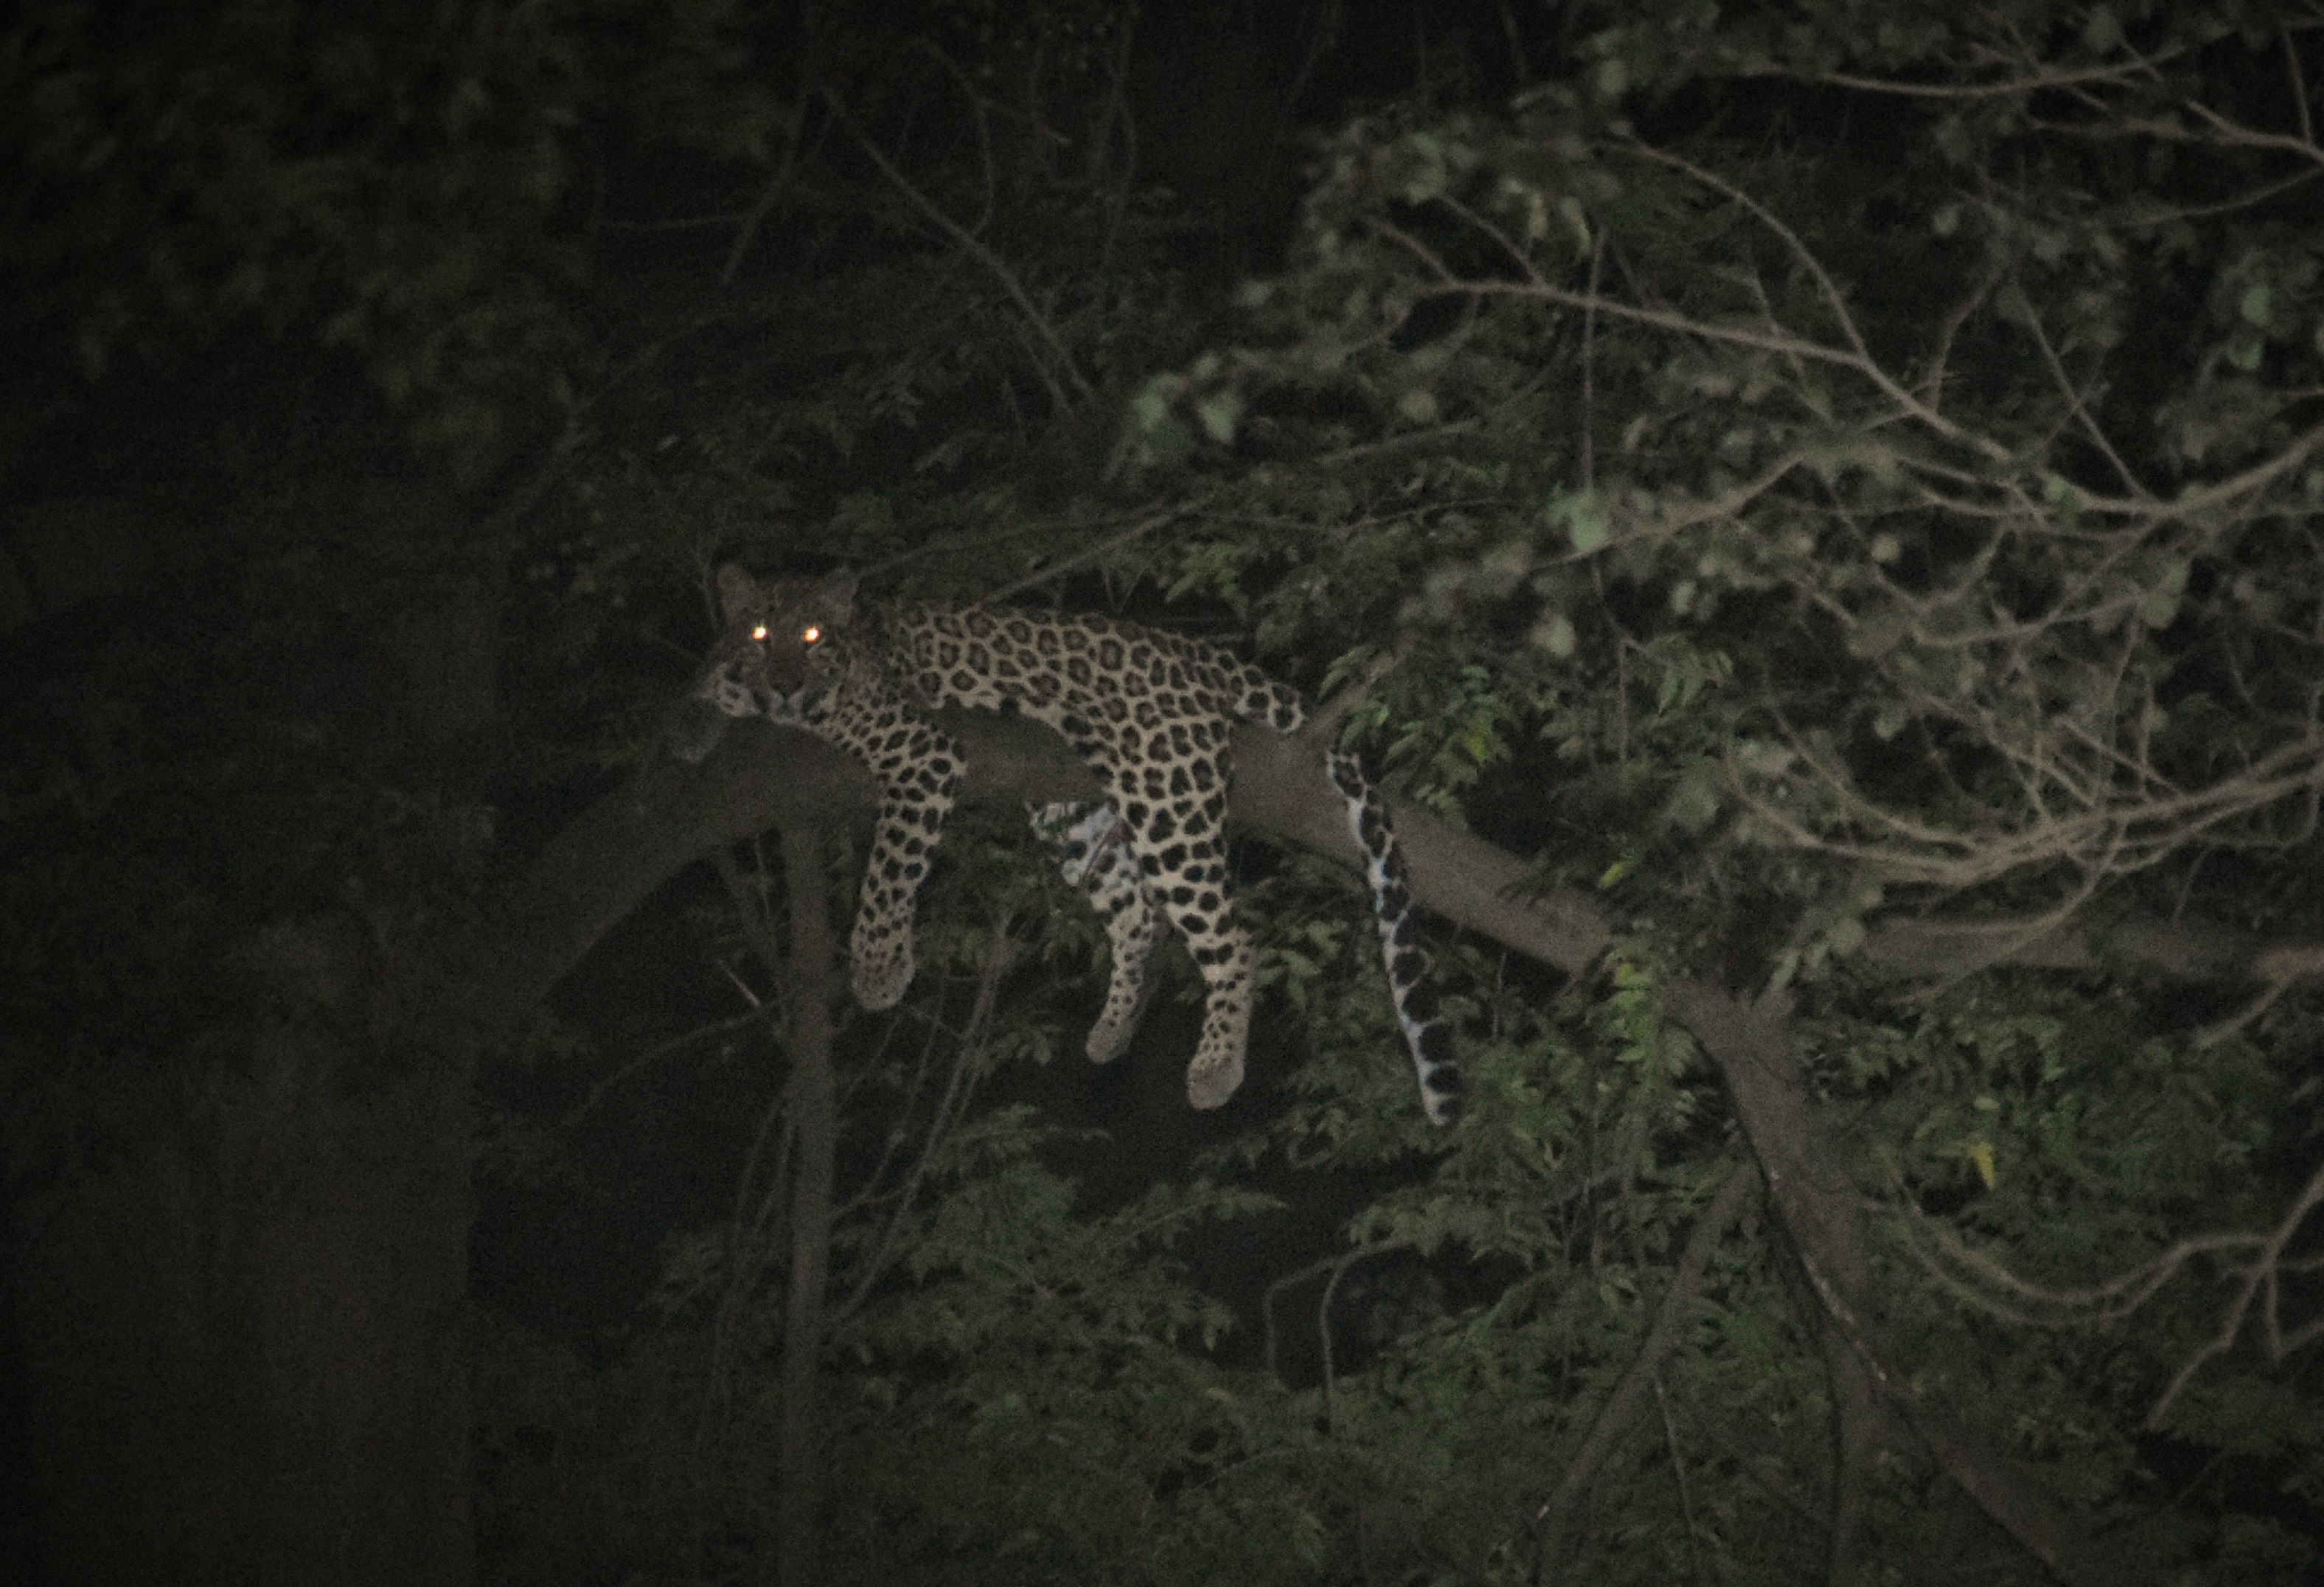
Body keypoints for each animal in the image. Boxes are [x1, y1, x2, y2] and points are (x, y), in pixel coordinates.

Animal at [671, 563, 1461, 1126]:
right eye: (762, 635)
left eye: (811, 639)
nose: (784, 686)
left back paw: (1214, 1070)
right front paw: (698, 716)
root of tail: (1193, 651)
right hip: (1073, 812)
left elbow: (887, 873)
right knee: (1138, 916)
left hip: (1165, 791)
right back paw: (1111, 1033)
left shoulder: (923, 753)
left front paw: (876, 970)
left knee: (1233, 940)